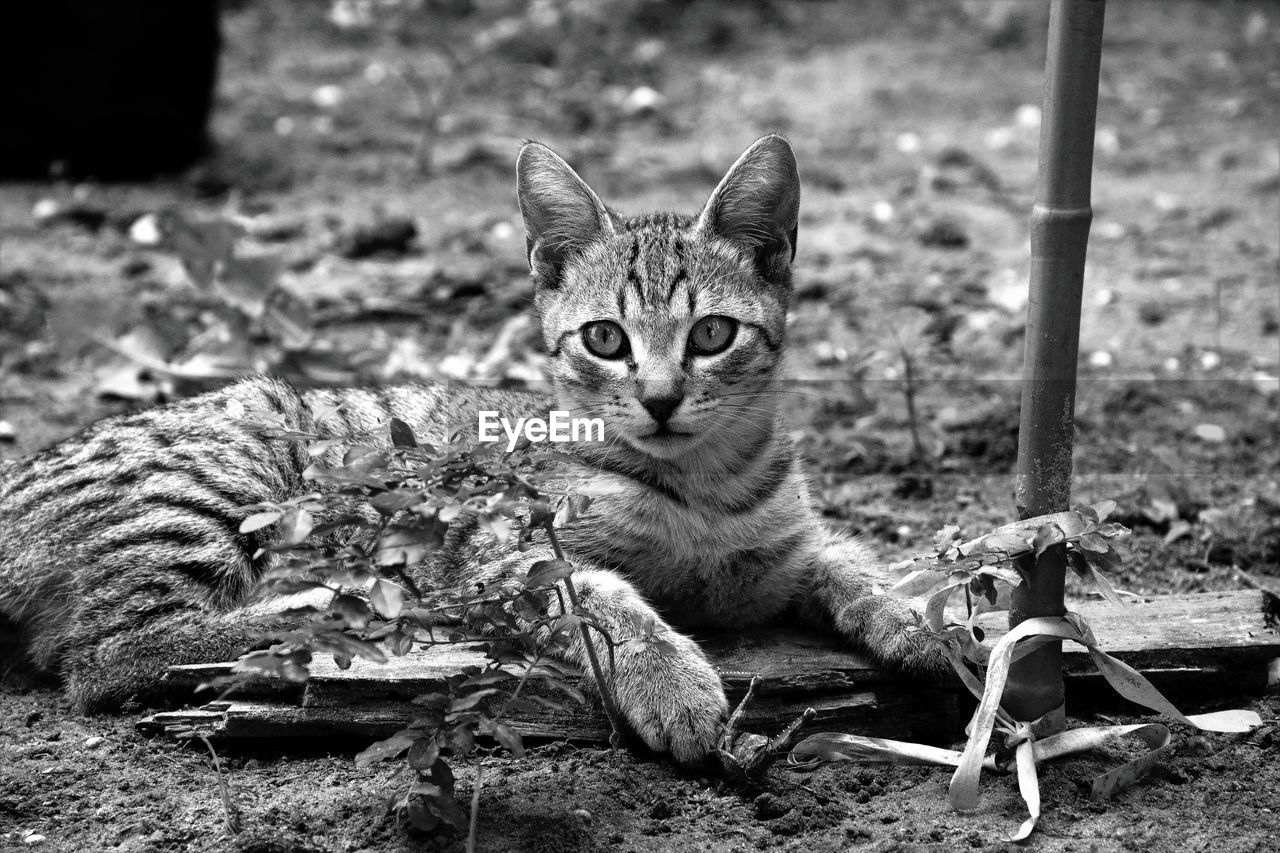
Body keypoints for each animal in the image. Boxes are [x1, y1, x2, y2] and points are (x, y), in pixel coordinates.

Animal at [0, 134, 942, 763]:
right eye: (605, 340)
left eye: (712, 333)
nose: (661, 398)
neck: (702, 483)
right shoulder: (508, 548)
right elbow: (601, 596)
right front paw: (671, 677)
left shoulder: (782, 550)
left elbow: (848, 559)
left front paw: (919, 616)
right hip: (226, 473)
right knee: (113, 649)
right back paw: (357, 604)